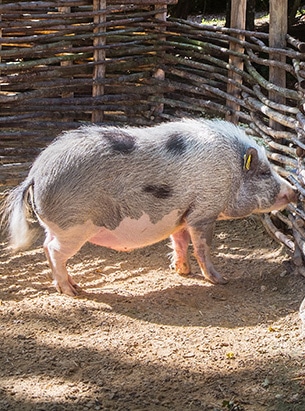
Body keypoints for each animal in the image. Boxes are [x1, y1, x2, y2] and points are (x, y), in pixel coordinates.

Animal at [0, 119, 294, 296]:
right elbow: (202, 246)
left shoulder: (182, 213)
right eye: (265, 172)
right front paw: (220, 280)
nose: (293, 192)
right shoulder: (203, 212)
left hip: (57, 227)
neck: (231, 172)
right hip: (73, 228)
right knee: (53, 250)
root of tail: (35, 173)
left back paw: (70, 286)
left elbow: (179, 240)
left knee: (45, 246)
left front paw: (182, 271)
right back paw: (73, 291)